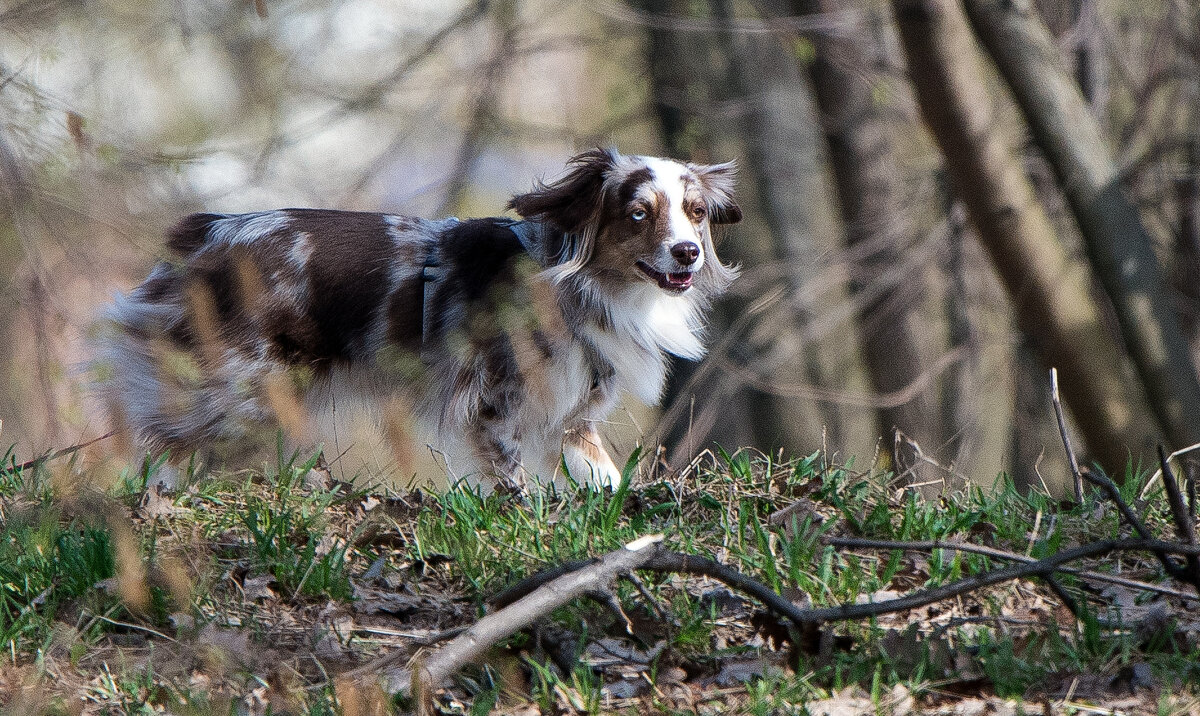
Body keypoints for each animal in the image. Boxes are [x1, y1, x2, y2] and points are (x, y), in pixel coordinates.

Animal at [98, 148, 739, 489]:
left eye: (695, 212)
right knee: (164, 443)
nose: (688, 253)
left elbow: (602, 480)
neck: (579, 287)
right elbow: (511, 482)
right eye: (639, 214)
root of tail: (208, 232)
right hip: (234, 395)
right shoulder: (493, 407)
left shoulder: (570, 418)